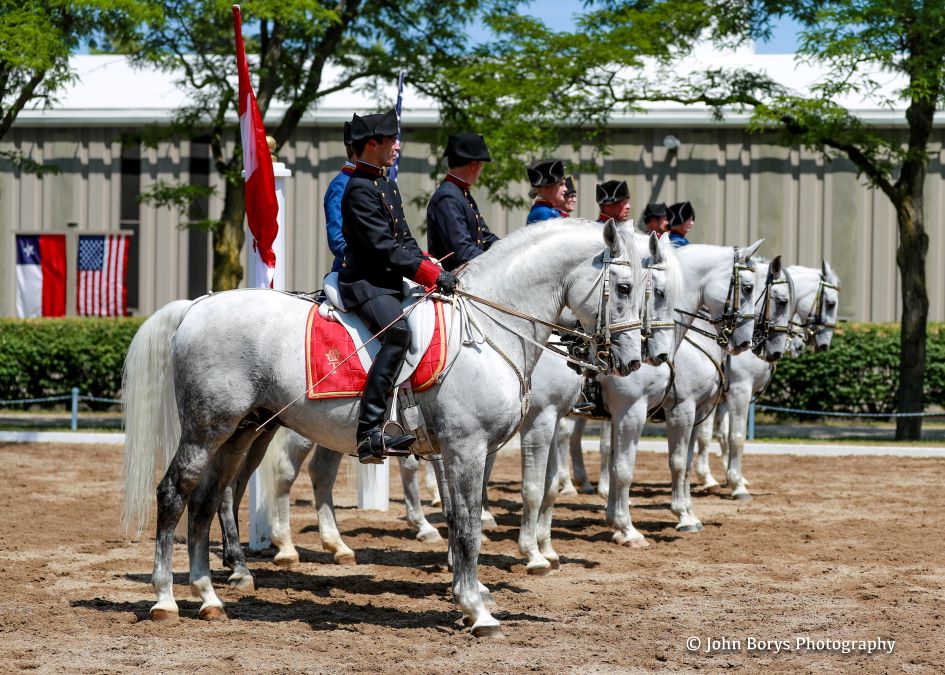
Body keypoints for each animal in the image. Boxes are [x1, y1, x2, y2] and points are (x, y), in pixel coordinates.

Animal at [120, 220, 640, 640]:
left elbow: (461, 521)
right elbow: (469, 527)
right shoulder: (466, 448)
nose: (633, 361)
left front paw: (467, 597)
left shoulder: (464, 451)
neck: (489, 328)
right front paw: (479, 611)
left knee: (208, 499)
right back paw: (167, 599)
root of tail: (198, 306)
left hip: (241, 430)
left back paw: (209, 597)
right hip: (208, 428)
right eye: (626, 286)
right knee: (175, 492)